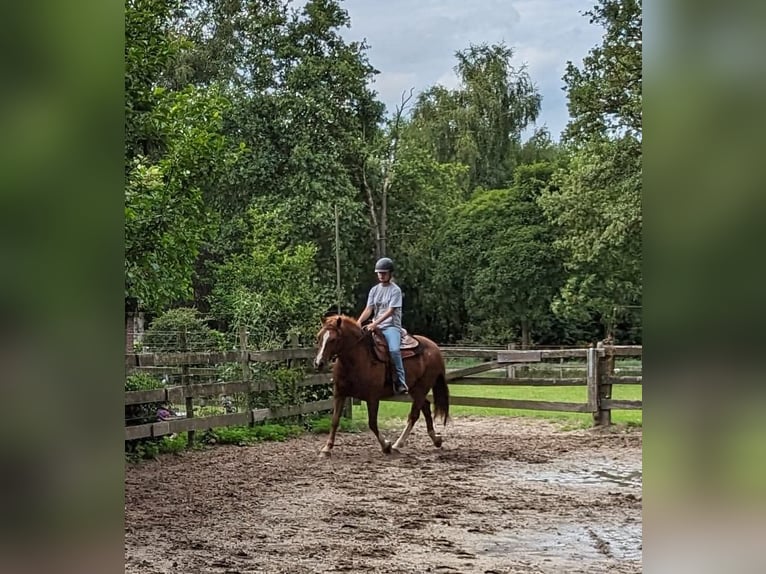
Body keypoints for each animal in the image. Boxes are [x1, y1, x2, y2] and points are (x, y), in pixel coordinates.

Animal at [314, 316, 450, 460]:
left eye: (333, 339)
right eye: (319, 337)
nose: (318, 363)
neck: (357, 359)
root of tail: (435, 347)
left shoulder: (372, 398)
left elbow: (372, 423)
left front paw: (386, 446)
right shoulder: (339, 394)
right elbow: (334, 421)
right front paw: (326, 449)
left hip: (421, 388)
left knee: (414, 415)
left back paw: (397, 444)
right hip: (415, 389)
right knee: (426, 407)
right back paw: (436, 439)